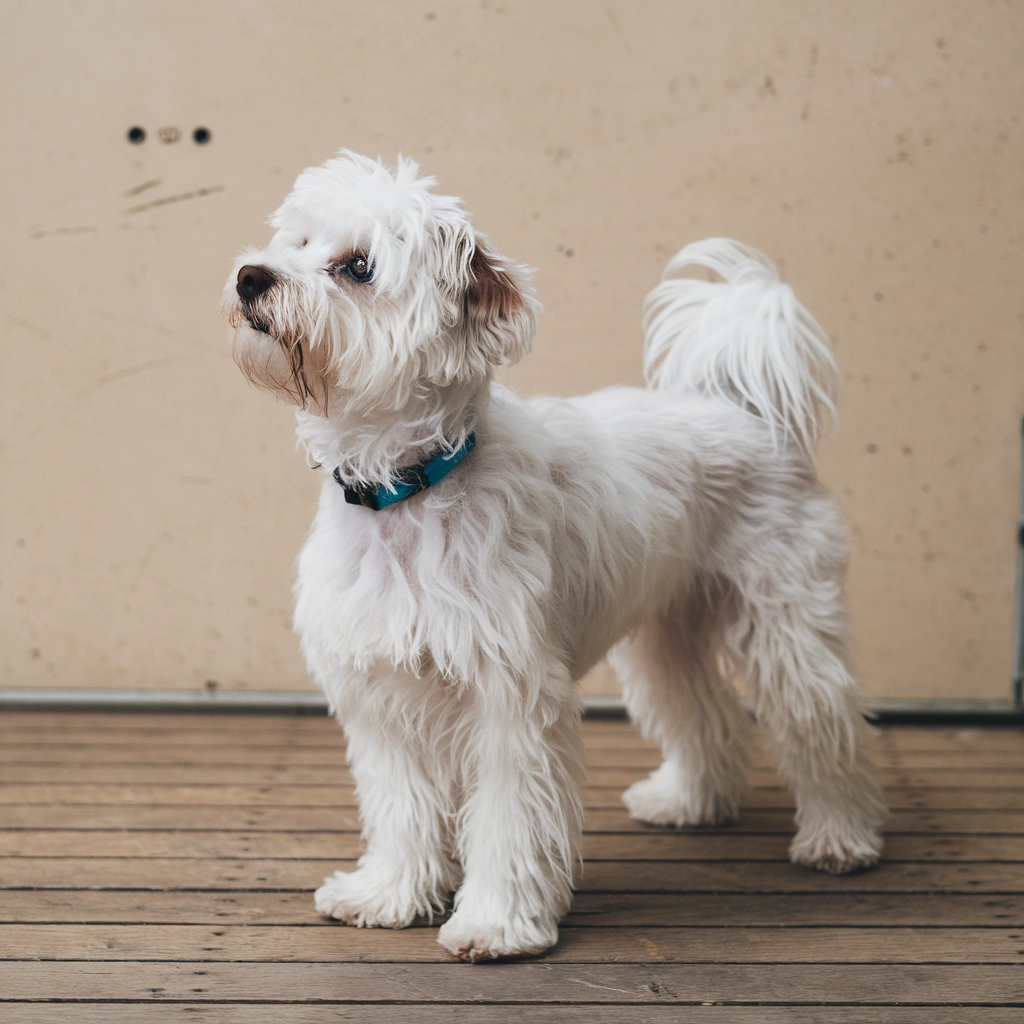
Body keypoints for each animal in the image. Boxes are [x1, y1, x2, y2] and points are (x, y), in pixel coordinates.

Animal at [222, 149, 880, 958]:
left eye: (358, 267)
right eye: (297, 243)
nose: (252, 276)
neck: (407, 489)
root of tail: (744, 411)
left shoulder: (511, 700)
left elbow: (508, 822)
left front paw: (495, 922)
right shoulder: (382, 700)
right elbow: (402, 810)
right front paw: (390, 894)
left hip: (788, 627)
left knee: (825, 727)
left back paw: (840, 838)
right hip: (665, 635)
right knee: (707, 716)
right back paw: (688, 802)